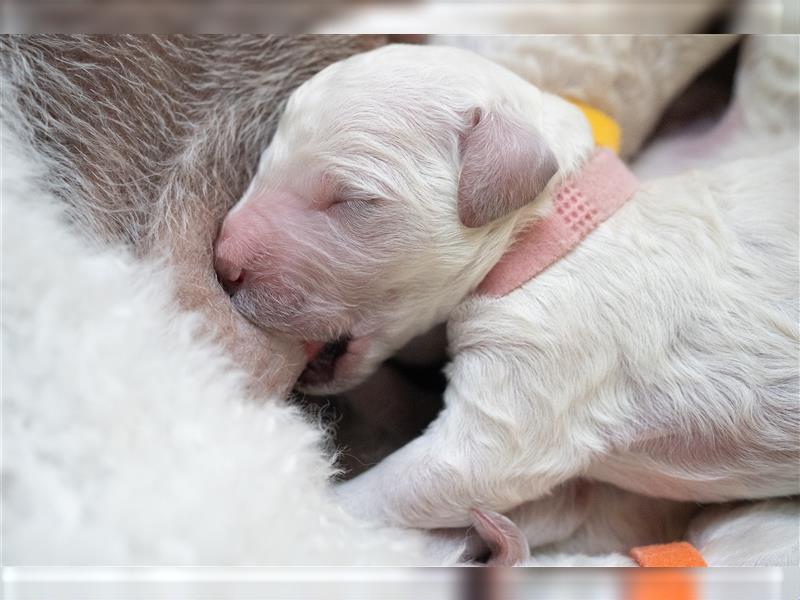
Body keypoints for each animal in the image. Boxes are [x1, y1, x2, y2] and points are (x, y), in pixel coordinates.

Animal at [214, 47, 800, 536]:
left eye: (349, 199)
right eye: (263, 165)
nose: (223, 261)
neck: (554, 229)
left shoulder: (548, 358)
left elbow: (456, 472)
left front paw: (287, 509)